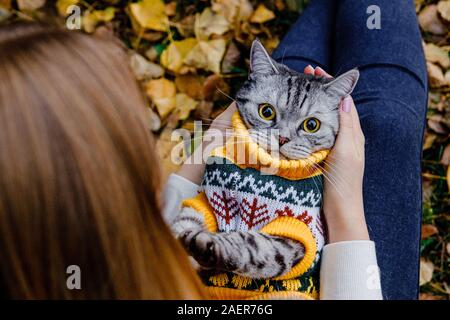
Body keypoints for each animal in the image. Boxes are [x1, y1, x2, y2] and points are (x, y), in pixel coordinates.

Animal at [172, 40, 358, 280]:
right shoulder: (205, 200)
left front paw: (209, 246)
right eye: (266, 112)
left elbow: (250, 244)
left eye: (311, 125)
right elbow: (187, 218)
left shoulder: (297, 234)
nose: (283, 138)